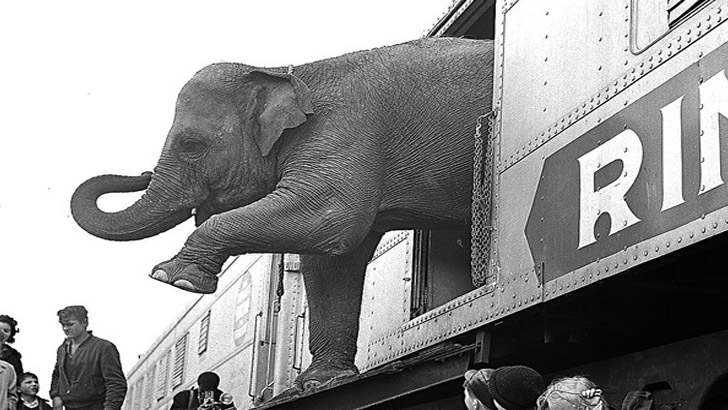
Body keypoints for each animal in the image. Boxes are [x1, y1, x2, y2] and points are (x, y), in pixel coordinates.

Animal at [70, 37, 494, 391]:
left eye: (191, 145)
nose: (141, 174)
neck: (286, 70)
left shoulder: (347, 132)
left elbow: (331, 217)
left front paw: (175, 278)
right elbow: (332, 260)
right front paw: (321, 383)